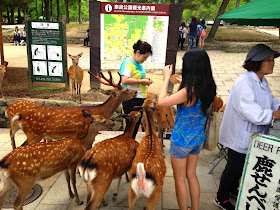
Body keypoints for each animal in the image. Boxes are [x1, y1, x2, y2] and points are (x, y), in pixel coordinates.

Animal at [7, 71, 137, 148]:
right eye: (126, 90)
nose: (135, 92)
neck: (98, 111)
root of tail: (20, 116)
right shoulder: (82, 132)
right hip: (33, 134)